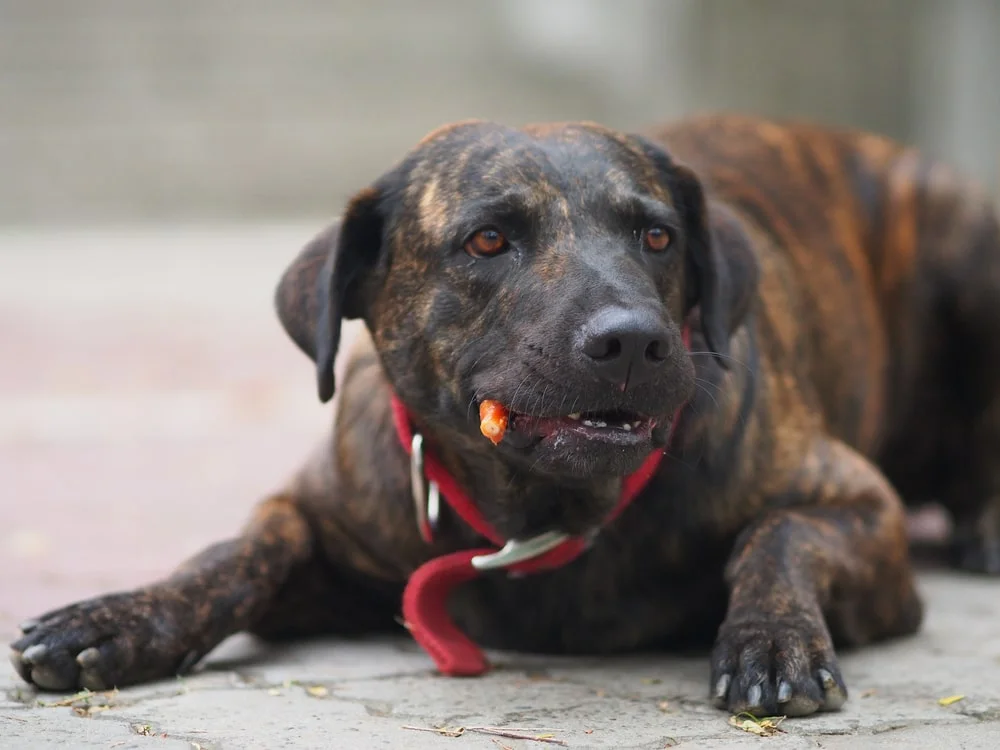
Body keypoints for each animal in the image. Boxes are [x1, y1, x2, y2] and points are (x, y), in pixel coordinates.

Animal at [9, 114, 1000, 720]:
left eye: (657, 236)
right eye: (488, 240)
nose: (634, 341)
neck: (542, 510)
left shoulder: (861, 508)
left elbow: (780, 533)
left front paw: (770, 636)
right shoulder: (331, 526)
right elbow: (242, 549)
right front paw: (117, 618)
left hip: (967, 249)